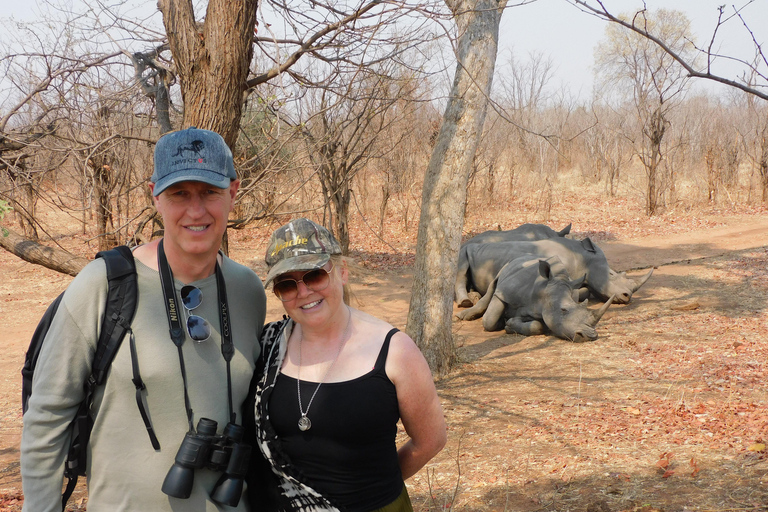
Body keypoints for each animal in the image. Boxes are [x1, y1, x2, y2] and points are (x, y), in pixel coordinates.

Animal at [452, 255, 616, 342]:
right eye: (563, 310)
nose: (590, 336)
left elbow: (538, 326)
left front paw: (510, 324)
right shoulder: (504, 292)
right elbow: (490, 320)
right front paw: (500, 323)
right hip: (507, 265)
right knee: (492, 286)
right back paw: (464, 315)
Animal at [456, 237, 656, 308]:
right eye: (612, 275)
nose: (628, 296)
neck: (582, 257)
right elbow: (580, 291)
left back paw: (475, 295)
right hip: (462, 250)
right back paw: (466, 302)